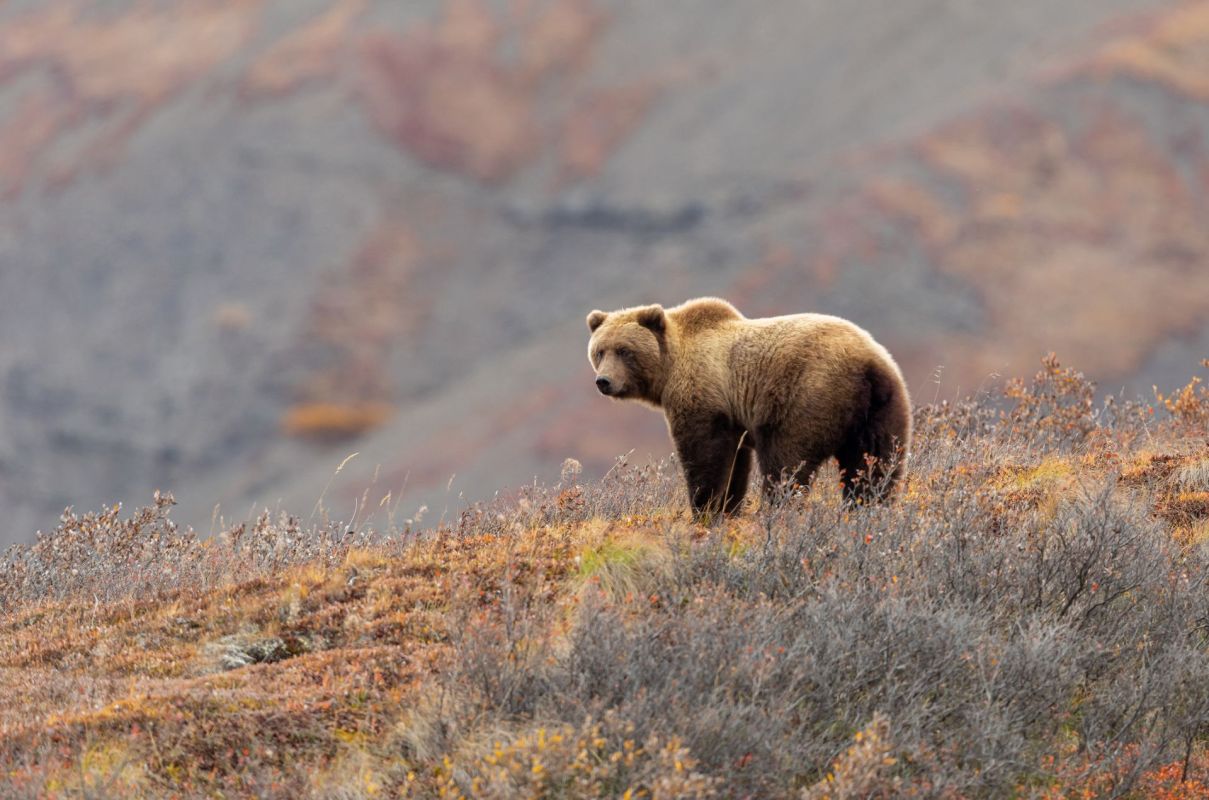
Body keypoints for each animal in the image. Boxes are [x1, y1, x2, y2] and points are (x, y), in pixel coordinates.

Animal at [586, 297, 911, 513]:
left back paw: (777, 510)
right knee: (875, 464)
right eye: (600, 351)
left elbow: (704, 456)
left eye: (625, 350)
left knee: (785, 463)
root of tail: (868, 364)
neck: (670, 367)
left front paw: (705, 509)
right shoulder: (733, 418)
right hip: (882, 409)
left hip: (807, 397)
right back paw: (867, 509)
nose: (604, 381)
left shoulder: (704, 397)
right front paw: (728, 508)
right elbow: (735, 465)